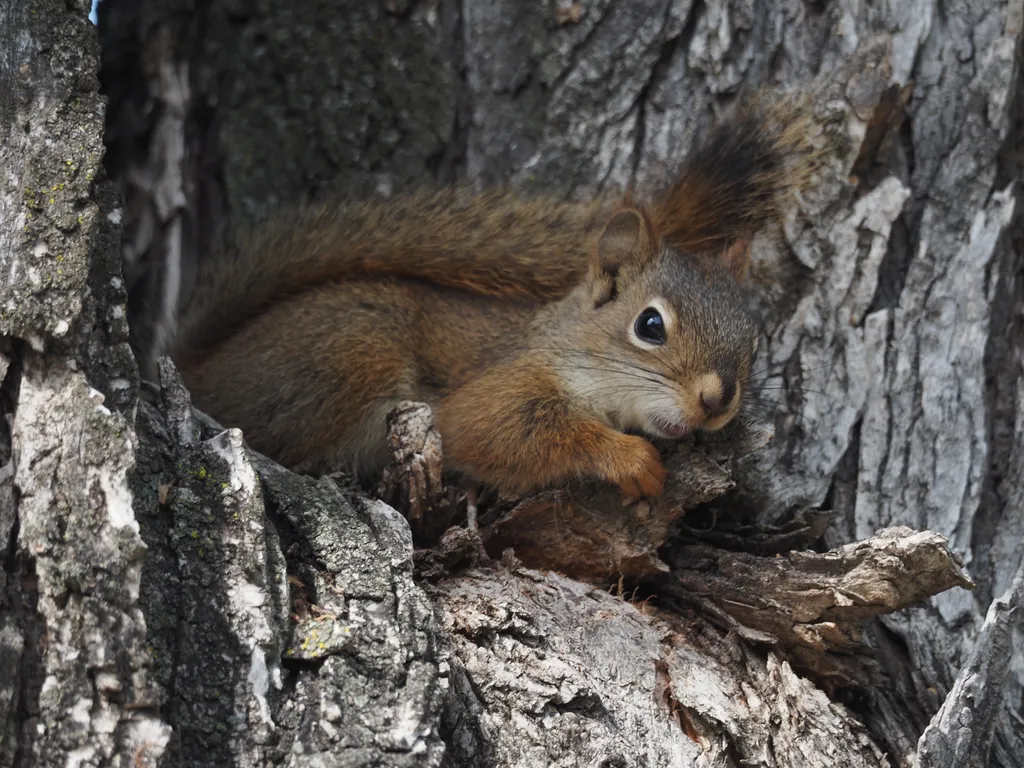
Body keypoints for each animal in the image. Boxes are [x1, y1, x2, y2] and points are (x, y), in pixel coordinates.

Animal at [167, 96, 823, 501]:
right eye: (651, 325)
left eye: (754, 343)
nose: (716, 400)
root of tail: (205, 367)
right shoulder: (508, 380)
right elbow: (488, 429)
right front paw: (629, 459)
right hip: (350, 351)